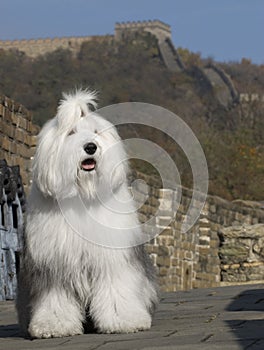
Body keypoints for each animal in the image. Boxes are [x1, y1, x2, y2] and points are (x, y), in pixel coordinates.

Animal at [17, 89, 160, 338]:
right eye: (71, 133)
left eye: (96, 132)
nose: (91, 147)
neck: (83, 195)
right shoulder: (53, 263)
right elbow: (55, 297)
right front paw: (54, 325)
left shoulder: (112, 258)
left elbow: (117, 288)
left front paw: (124, 320)